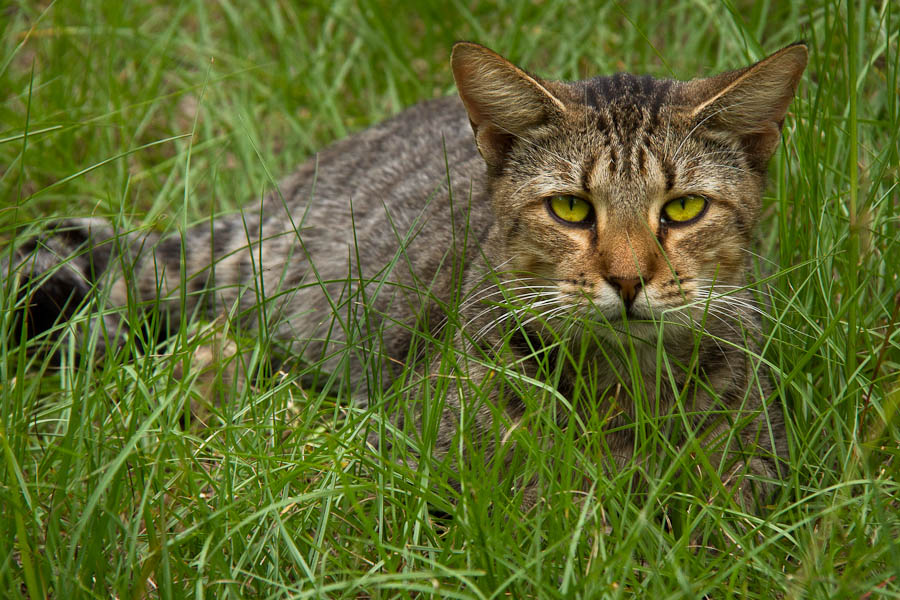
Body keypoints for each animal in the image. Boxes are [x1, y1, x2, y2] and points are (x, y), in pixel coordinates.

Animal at [5, 42, 808, 508]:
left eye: (685, 207)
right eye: (572, 207)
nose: (631, 279)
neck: (620, 393)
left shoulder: (755, 471)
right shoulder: (429, 454)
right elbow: (540, 503)